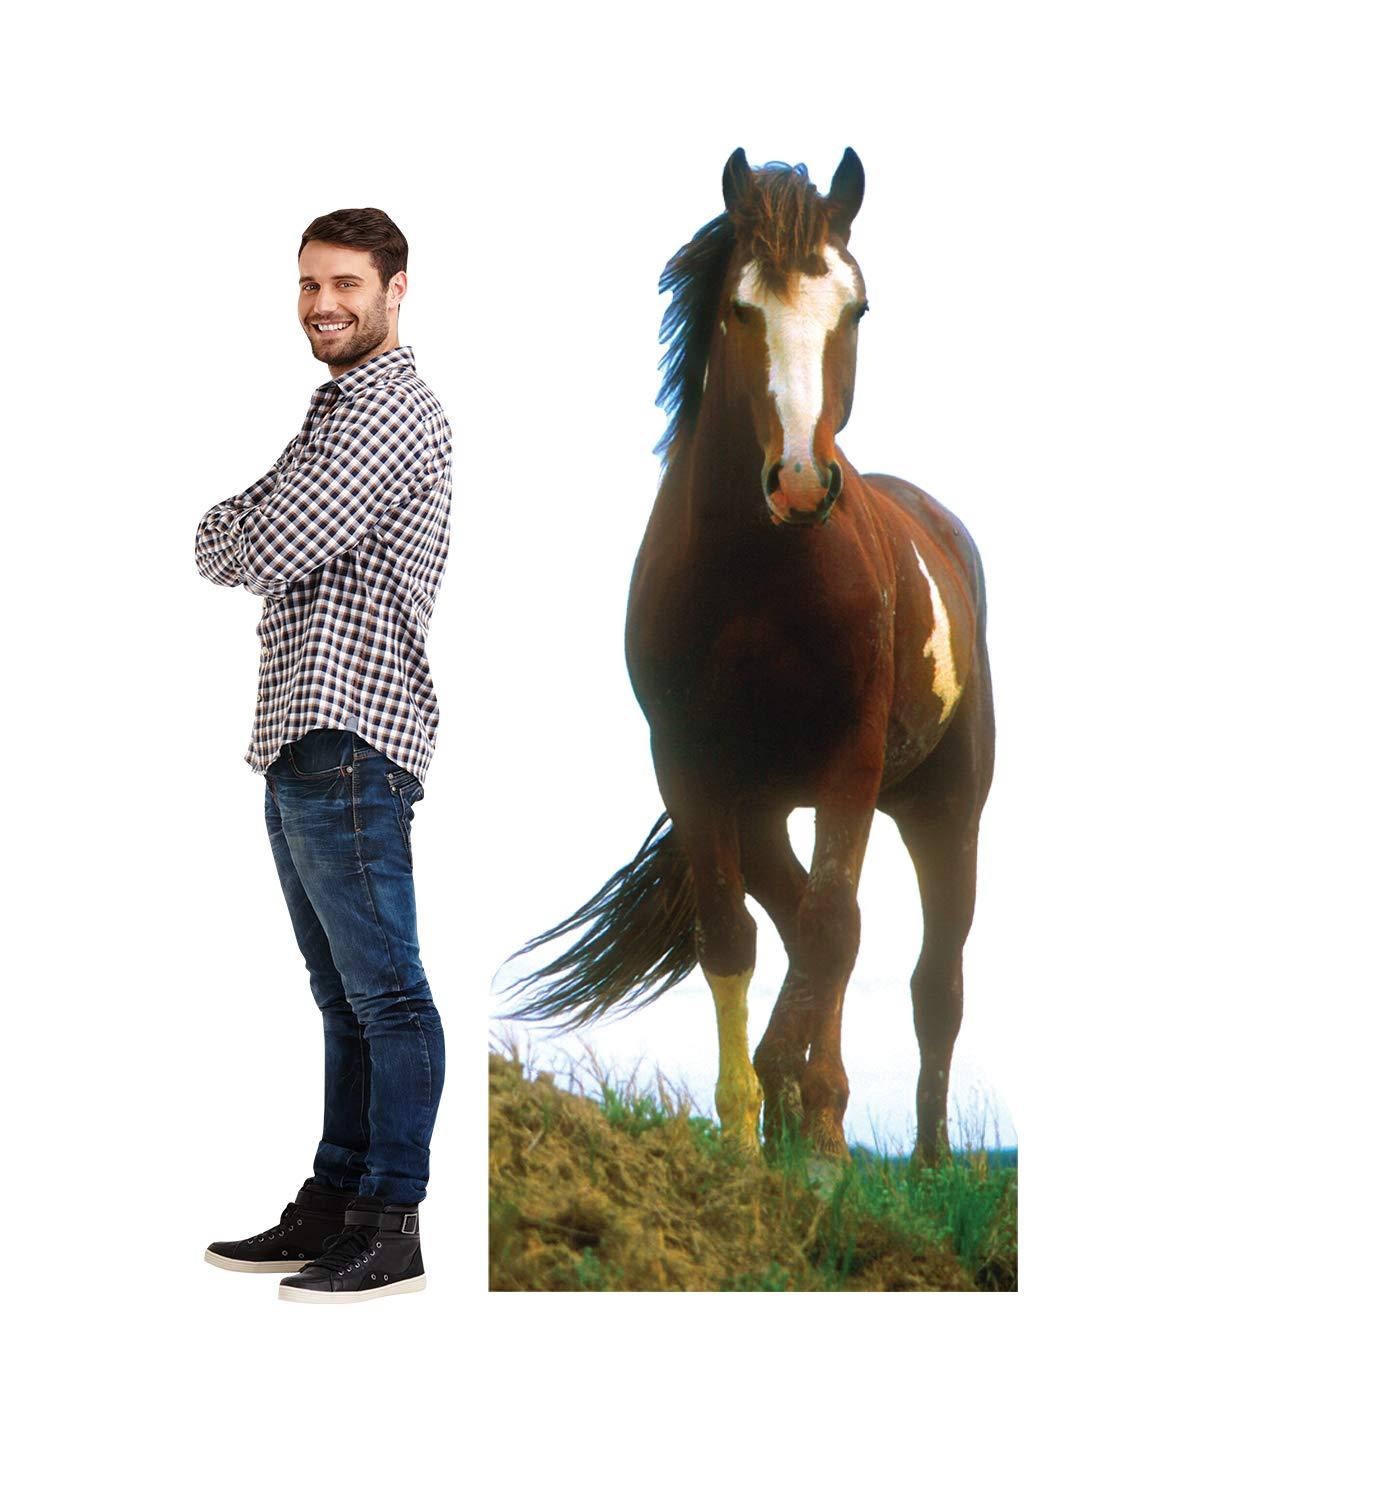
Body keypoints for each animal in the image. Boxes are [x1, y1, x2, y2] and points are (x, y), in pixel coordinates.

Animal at [506, 147, 995, 1163]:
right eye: (740, 309)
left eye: (855, 309)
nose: (804, 481)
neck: (760, 582)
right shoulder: (691, 766)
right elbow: (735, 938)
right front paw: (742, 1138)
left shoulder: (851, 761)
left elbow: (835, 927)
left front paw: (815, 1134)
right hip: (769, 808)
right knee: (806, 922)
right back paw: (793, 1106)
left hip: (946, 809)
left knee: (931, 978)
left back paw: (921, 1155)